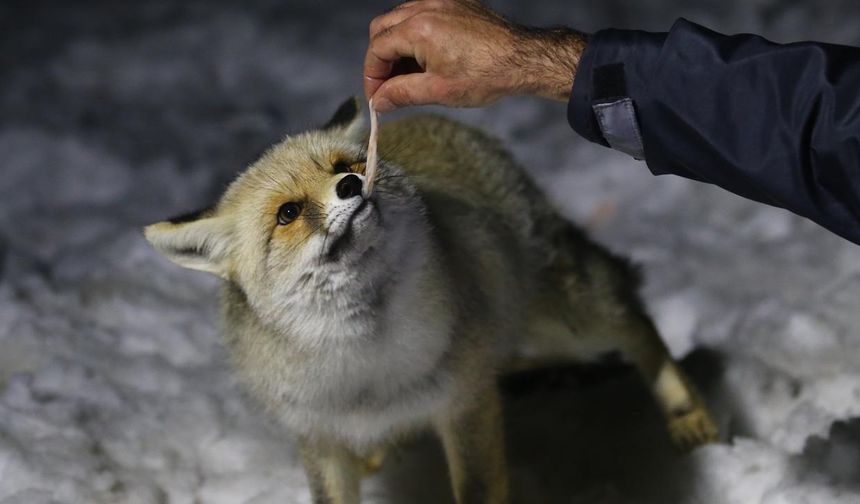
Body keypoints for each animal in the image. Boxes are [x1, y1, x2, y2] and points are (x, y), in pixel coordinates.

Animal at [144, 98, 716, 504]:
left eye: (344, 166)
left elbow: (477, 490)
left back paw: (687, 414)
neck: (363, 361)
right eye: (288, 213)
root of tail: (434, 119)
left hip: (560, 322)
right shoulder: (318, 436)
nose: (352, 184)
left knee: (636, 320)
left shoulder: (465, 403)